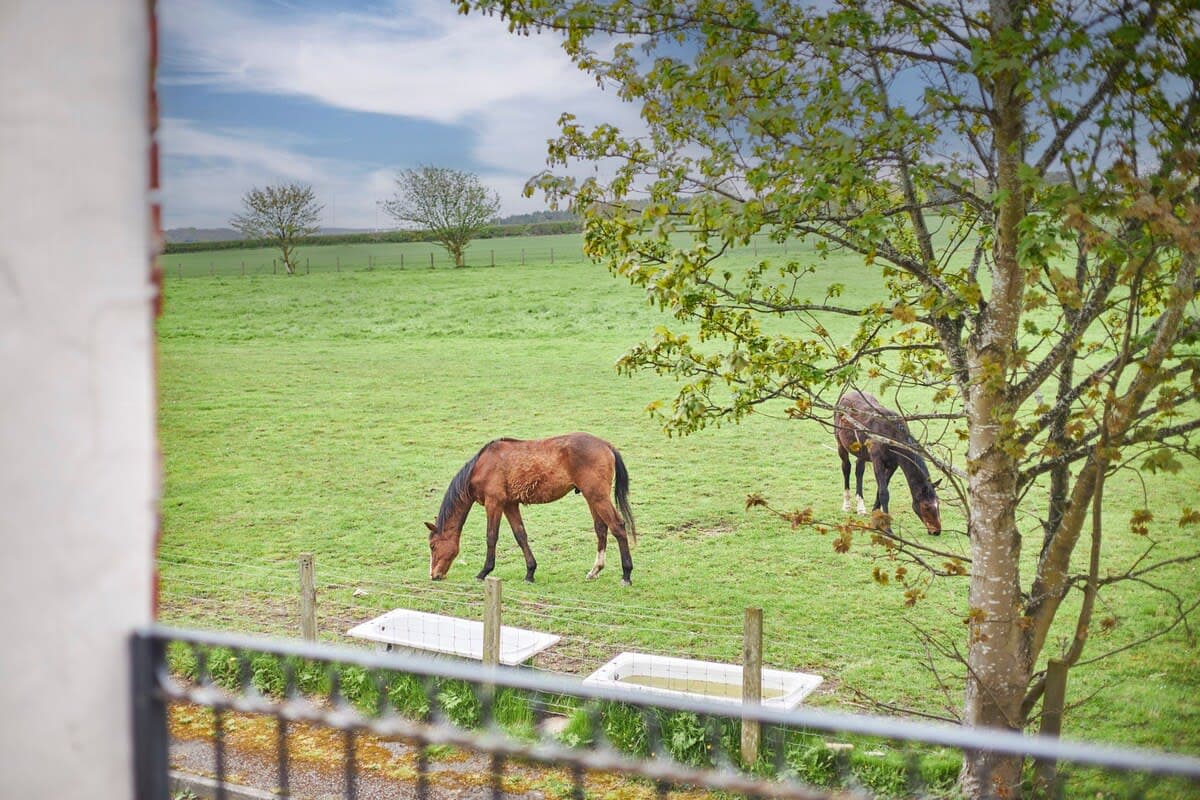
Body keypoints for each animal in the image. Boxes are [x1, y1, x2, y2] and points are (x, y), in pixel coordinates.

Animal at [429, 434, 643, 585]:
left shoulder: (494, 503)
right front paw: (530, 572)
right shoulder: (510, 505)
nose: (434, 575)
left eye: (432, 546)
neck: (482, 466)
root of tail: (606, 445)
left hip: (597, 497)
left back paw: (626, 574)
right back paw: (595, 570)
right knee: (601, 528)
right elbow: (520, 536)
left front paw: (484, 572)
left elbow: (491, 537)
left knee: (617, 526)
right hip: (592, 497)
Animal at [830, 388, 940, 534]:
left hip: (861, 452)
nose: (937, 531)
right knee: (846, 468)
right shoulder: (878, 461)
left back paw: (861, 507)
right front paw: (887, 528)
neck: (891, 436)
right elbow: (884, 492)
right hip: (840, 444)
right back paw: (846, 505)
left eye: (938, 503)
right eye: (927, 506)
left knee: (859, 470)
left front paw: (875, 513)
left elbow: (881, 488)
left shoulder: (893, 465)